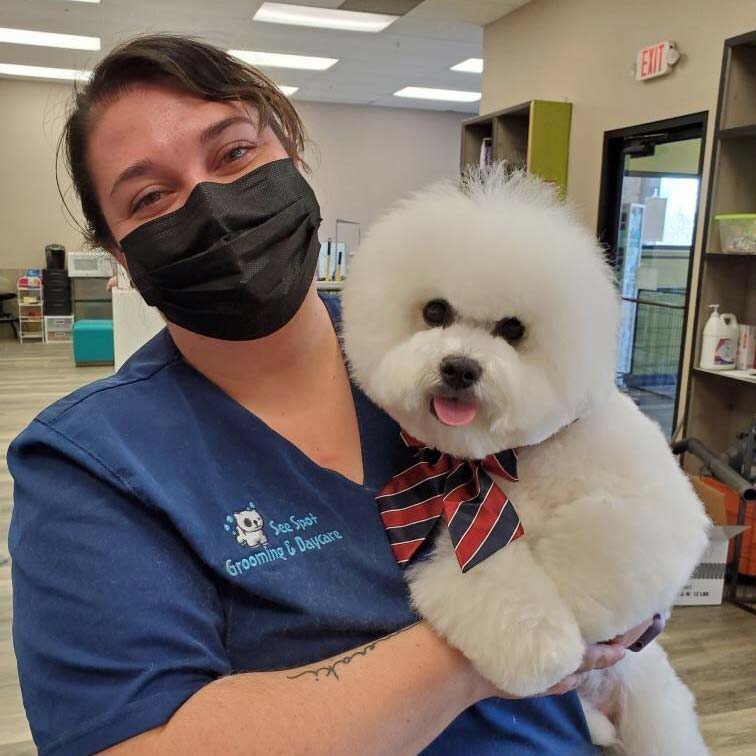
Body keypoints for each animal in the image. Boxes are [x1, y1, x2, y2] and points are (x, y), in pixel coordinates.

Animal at [342, 167, 716, 756]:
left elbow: (601, 543)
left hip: (652, 705)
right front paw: (544, 648)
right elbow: (494, 583)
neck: (510, 459)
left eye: (513, 329)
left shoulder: (656, 504)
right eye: (434, 312)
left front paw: (579, 607)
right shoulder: (464, 538)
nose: (460, 367)